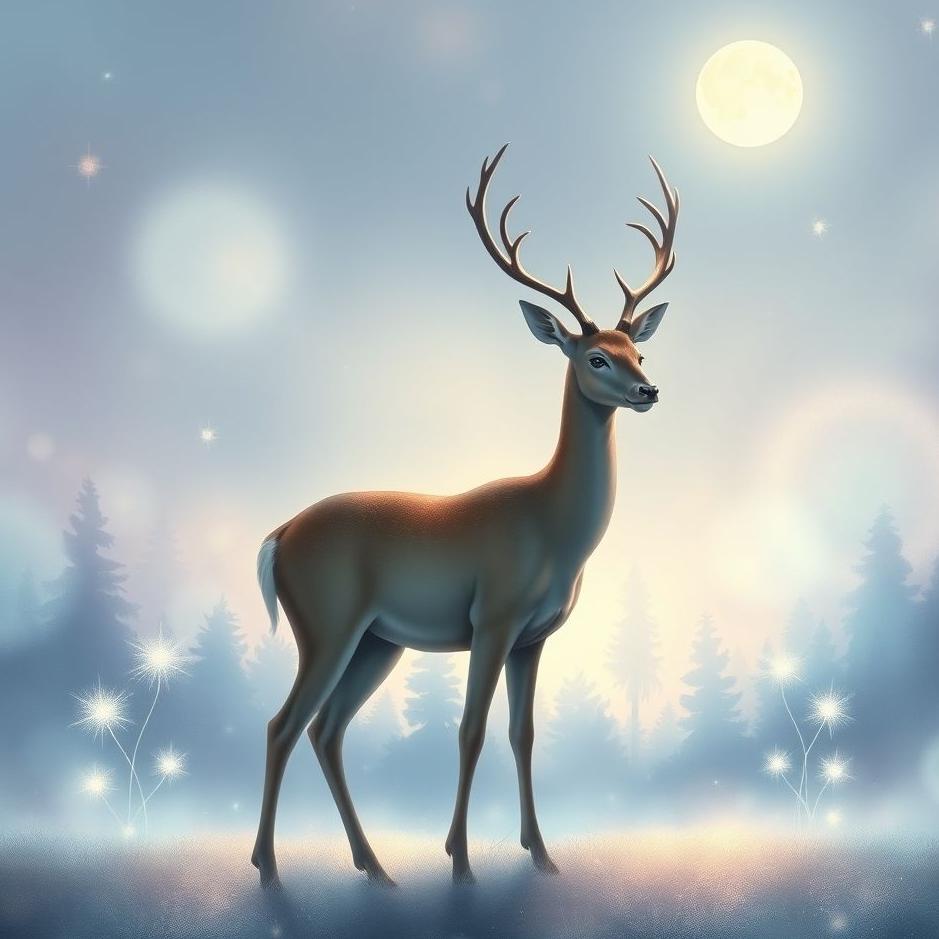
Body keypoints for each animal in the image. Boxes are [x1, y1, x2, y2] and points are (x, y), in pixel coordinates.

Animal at [251, 144, 678, 888]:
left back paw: (375, 868)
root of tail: (279, 535)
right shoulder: (493, 617)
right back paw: (271, 870)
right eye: (596, 356)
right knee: (283, 724)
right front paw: (460, 863)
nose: (648, 390)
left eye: (640, 351)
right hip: (327, 623)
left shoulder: (535, 636)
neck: (551, 530)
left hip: (376, 641)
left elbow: (521, 733)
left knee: (327, 729)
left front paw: (541, 855)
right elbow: (469, 730)